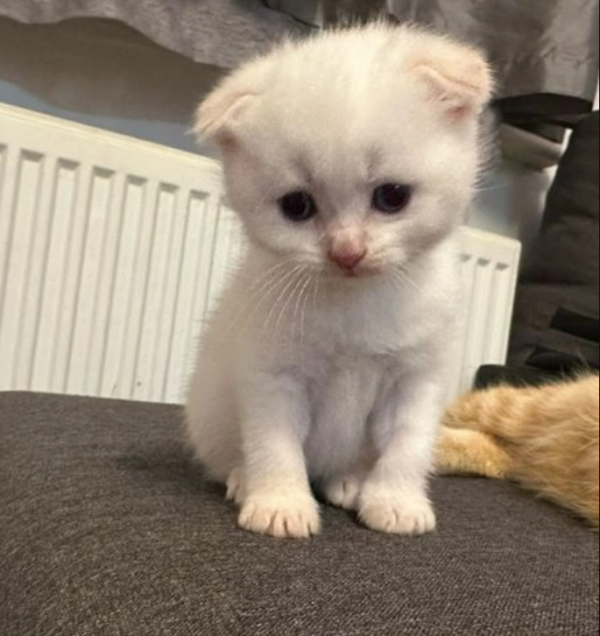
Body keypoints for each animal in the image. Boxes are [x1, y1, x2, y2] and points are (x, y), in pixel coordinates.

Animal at [186, 27, 492, 540]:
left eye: (392, 197)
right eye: (297, 206)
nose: (347, 251)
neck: (355, 300)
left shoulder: (417, 378)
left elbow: (408, 445)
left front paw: (396, 501)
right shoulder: (273, 375)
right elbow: (275, 444)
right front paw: (281, 503)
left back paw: (349, 480)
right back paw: (244, 478)